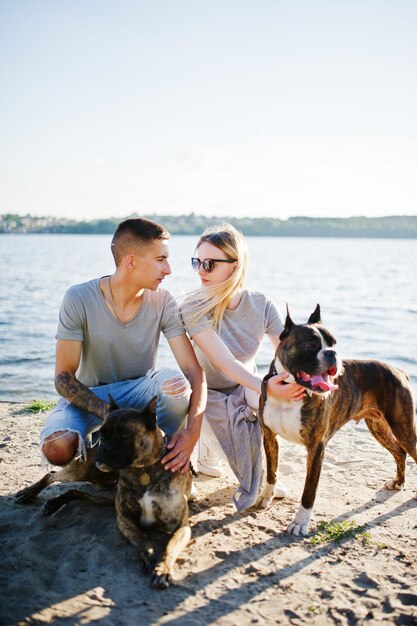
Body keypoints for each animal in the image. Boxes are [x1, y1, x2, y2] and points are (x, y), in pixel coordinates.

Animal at [256, 302, 416, 532]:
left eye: (334, 343)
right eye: (310, 345)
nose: (332, 353)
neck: (292, 392)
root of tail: (398, 370)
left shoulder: (316, 447)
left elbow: (309, 490)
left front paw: (300, 522)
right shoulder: (269, 436)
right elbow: (271, 471)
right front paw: (266, 497)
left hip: (402, 427)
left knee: (408, 450)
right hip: (379, 428)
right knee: (399, 453)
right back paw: (399, 482)